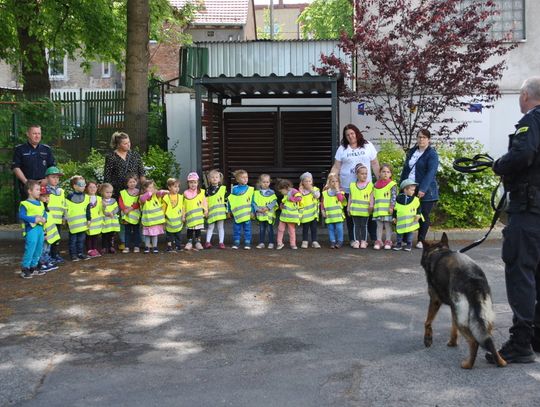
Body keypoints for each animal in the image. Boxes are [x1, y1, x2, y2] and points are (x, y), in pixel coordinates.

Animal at [422, 233, 506, 370]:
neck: (438, 251)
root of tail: (472, 279)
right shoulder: (453, 308)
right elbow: (453, 328)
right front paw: (452, 342)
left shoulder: (435, 300)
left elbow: (427, 322)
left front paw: (428, 339)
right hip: (483, 317)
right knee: (488, 339)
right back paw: (500, 362)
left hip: (462, 318)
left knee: (474, 342)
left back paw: (468, 365)